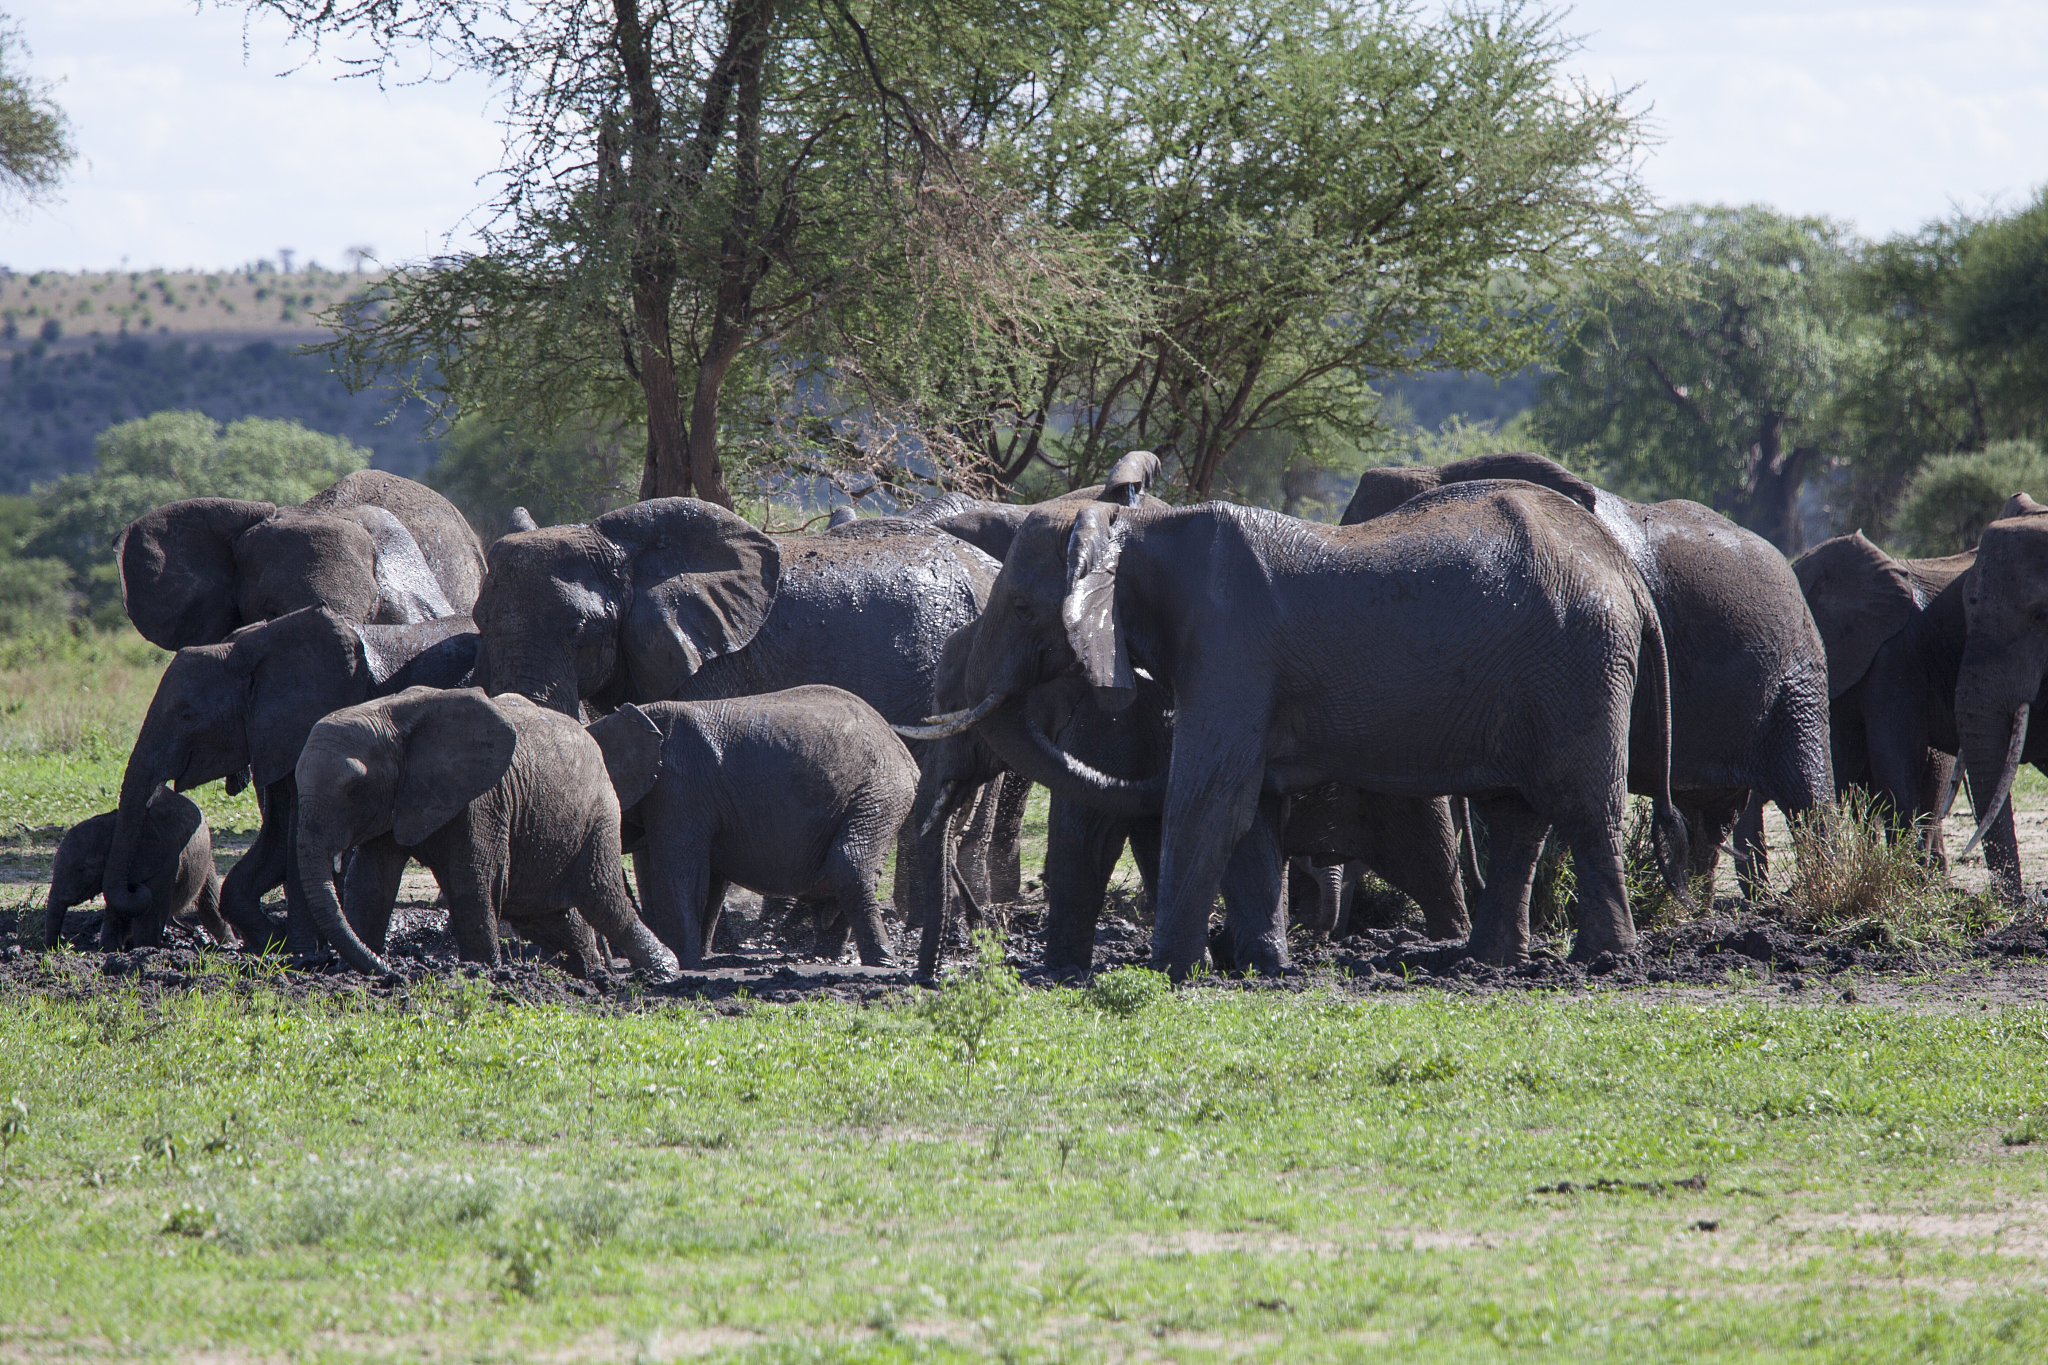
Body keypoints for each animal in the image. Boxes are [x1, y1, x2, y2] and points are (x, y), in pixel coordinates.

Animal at [37, 790, 227, 951]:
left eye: (81, 869)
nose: (61, 945)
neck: (116, 828)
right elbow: (119, 911)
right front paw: (110, 951)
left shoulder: (164, 865)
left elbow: (147, 918)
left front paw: (142, 951)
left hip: (206, 857)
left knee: (211, 908)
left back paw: (228, 945)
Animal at [101, 608, 478, 949]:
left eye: (187, 715)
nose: (137, 889)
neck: (248, 652)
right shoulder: (274, 736)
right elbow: (280, 837)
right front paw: (272, 943)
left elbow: (296, 837)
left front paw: (303, 954)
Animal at [294, 687, 679, 980]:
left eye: (355, 789)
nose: (395, 972)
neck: (388, 714)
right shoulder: (397, 799)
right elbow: (371, 883)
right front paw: (353, 971)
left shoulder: (483, 800)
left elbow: (472, 880)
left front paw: (482, 973)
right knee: (552, 917)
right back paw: (589, 974)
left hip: (597, 814)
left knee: (603, 899)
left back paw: (661, 972)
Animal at [596, 686, 919, 968]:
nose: (609, 961)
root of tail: (895, 741)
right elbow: (710, 882)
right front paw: (698, 957)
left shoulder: (679, 787)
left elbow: (680, 873)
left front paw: (684, 964)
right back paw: (826, 956)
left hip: (880, 790)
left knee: (849, 865)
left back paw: (883, 962)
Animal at [911, 482, 1687, 975]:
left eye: (1018, 607)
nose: (930, 976)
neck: (1142, 530)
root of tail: (1622, 569)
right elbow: (1251, 808)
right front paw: (1264, 965)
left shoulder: (1231, 646)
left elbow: (1210, 798)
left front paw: (1165, 970)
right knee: (1514, 815)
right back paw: (1481, 963)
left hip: (1580, 666)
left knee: (1581, 807)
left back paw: (1603, 962)